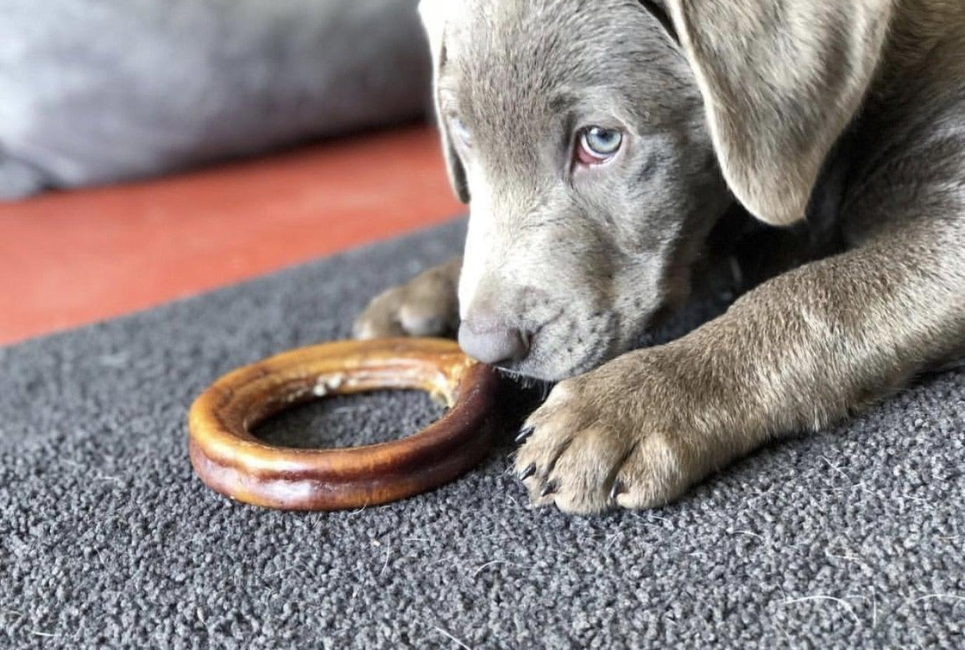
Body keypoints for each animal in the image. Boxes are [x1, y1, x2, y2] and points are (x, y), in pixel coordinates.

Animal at [356, 1, 964, 516]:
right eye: (461, 130)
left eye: (600, 140)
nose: (486, 346)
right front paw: (421, 296)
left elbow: (810, 295)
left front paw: (626, 404)